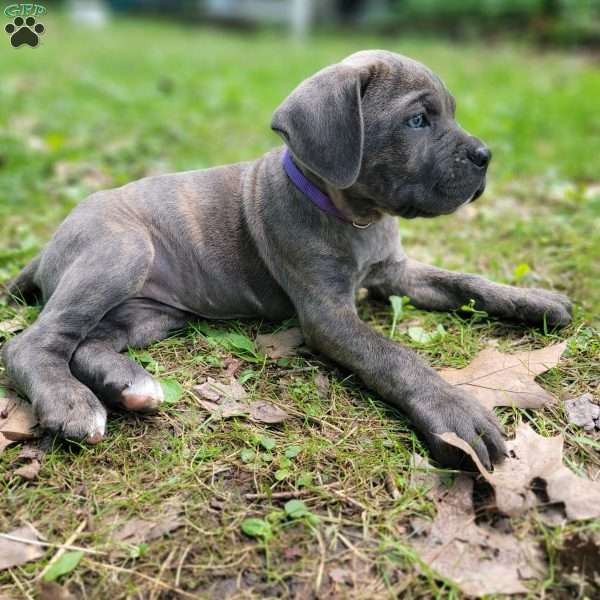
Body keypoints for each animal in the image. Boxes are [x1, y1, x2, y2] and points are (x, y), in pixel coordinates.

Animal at [1, 50, 572, 468]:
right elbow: (395, 357)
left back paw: (130, 386)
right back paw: (72, 403)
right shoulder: (328, 315)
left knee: (86, 344)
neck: (355, 217)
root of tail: (50, 244)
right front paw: (454, 412)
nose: (485, 157)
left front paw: (533, 299)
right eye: (417, 120)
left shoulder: (397, 274)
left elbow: (465, 280)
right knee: (32, 343)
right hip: (123, 250)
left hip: (150, 314)